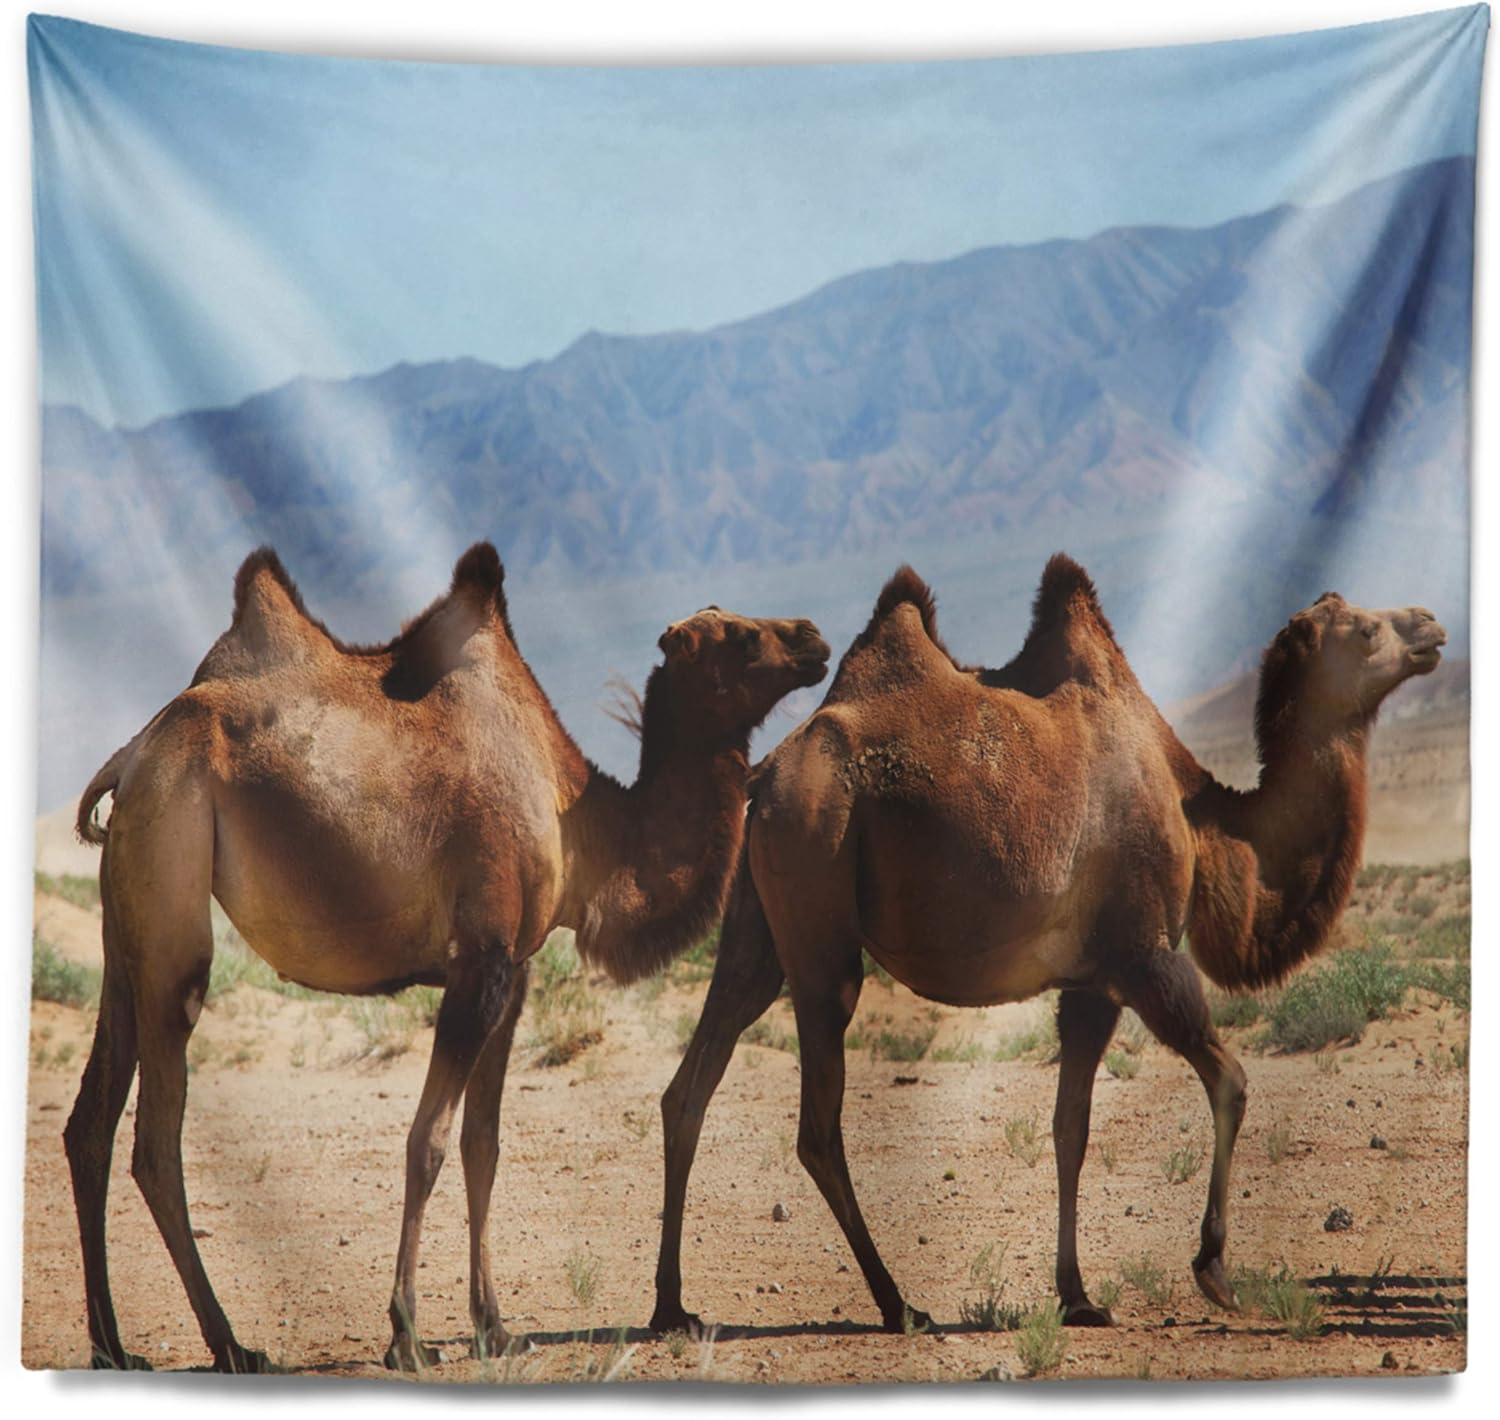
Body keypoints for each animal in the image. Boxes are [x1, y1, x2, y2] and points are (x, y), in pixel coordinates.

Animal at [64, 541, 829, 1373]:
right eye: (743, 639)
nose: (815, 637)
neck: (579, 824)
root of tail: (133, 754)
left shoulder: (516, 971)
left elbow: (481, 1144)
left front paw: (495, 1327)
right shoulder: (480, 960)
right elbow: (426, 1142)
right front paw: (406, 1333)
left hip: (126, 922)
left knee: (91, 1122)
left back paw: (113, 1347)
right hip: (175, 884)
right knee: (155, 1139)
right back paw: (231, 1344)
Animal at [650, 555, 1445, 1336]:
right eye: (1365, 631)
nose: (1431, 625)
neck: (1202, 820)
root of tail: (764, 778)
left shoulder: (1091, 983)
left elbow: (1071, 1127)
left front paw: (1078, 1295)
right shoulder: (1147, 956)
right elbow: (1231, 1083)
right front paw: (1214, 1270)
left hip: (758, 924)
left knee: (692, 1082)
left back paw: (672, 1307)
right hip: (820, 892)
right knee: (817, 1124)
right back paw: (898, 1304)